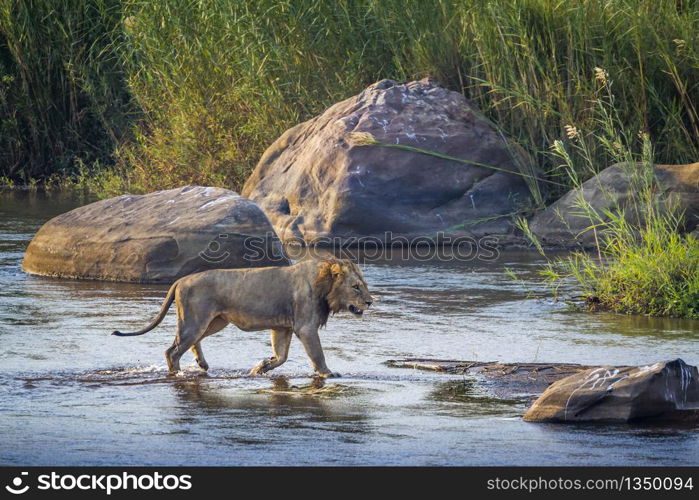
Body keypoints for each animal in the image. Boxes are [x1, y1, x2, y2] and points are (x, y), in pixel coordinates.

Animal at [110, 260, 372, 376]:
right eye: (356, 287)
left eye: (364, 285)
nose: (370, 301)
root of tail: (180, 280)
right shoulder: (305, 327)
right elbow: (317, 354)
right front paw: (329, 373)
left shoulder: (282, 327)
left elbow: (281, 356)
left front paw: (261, 367)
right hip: (195, 321)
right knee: (172, 351)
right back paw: (179, 373)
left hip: (214, 321)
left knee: (191, 343)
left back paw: (202, 364)